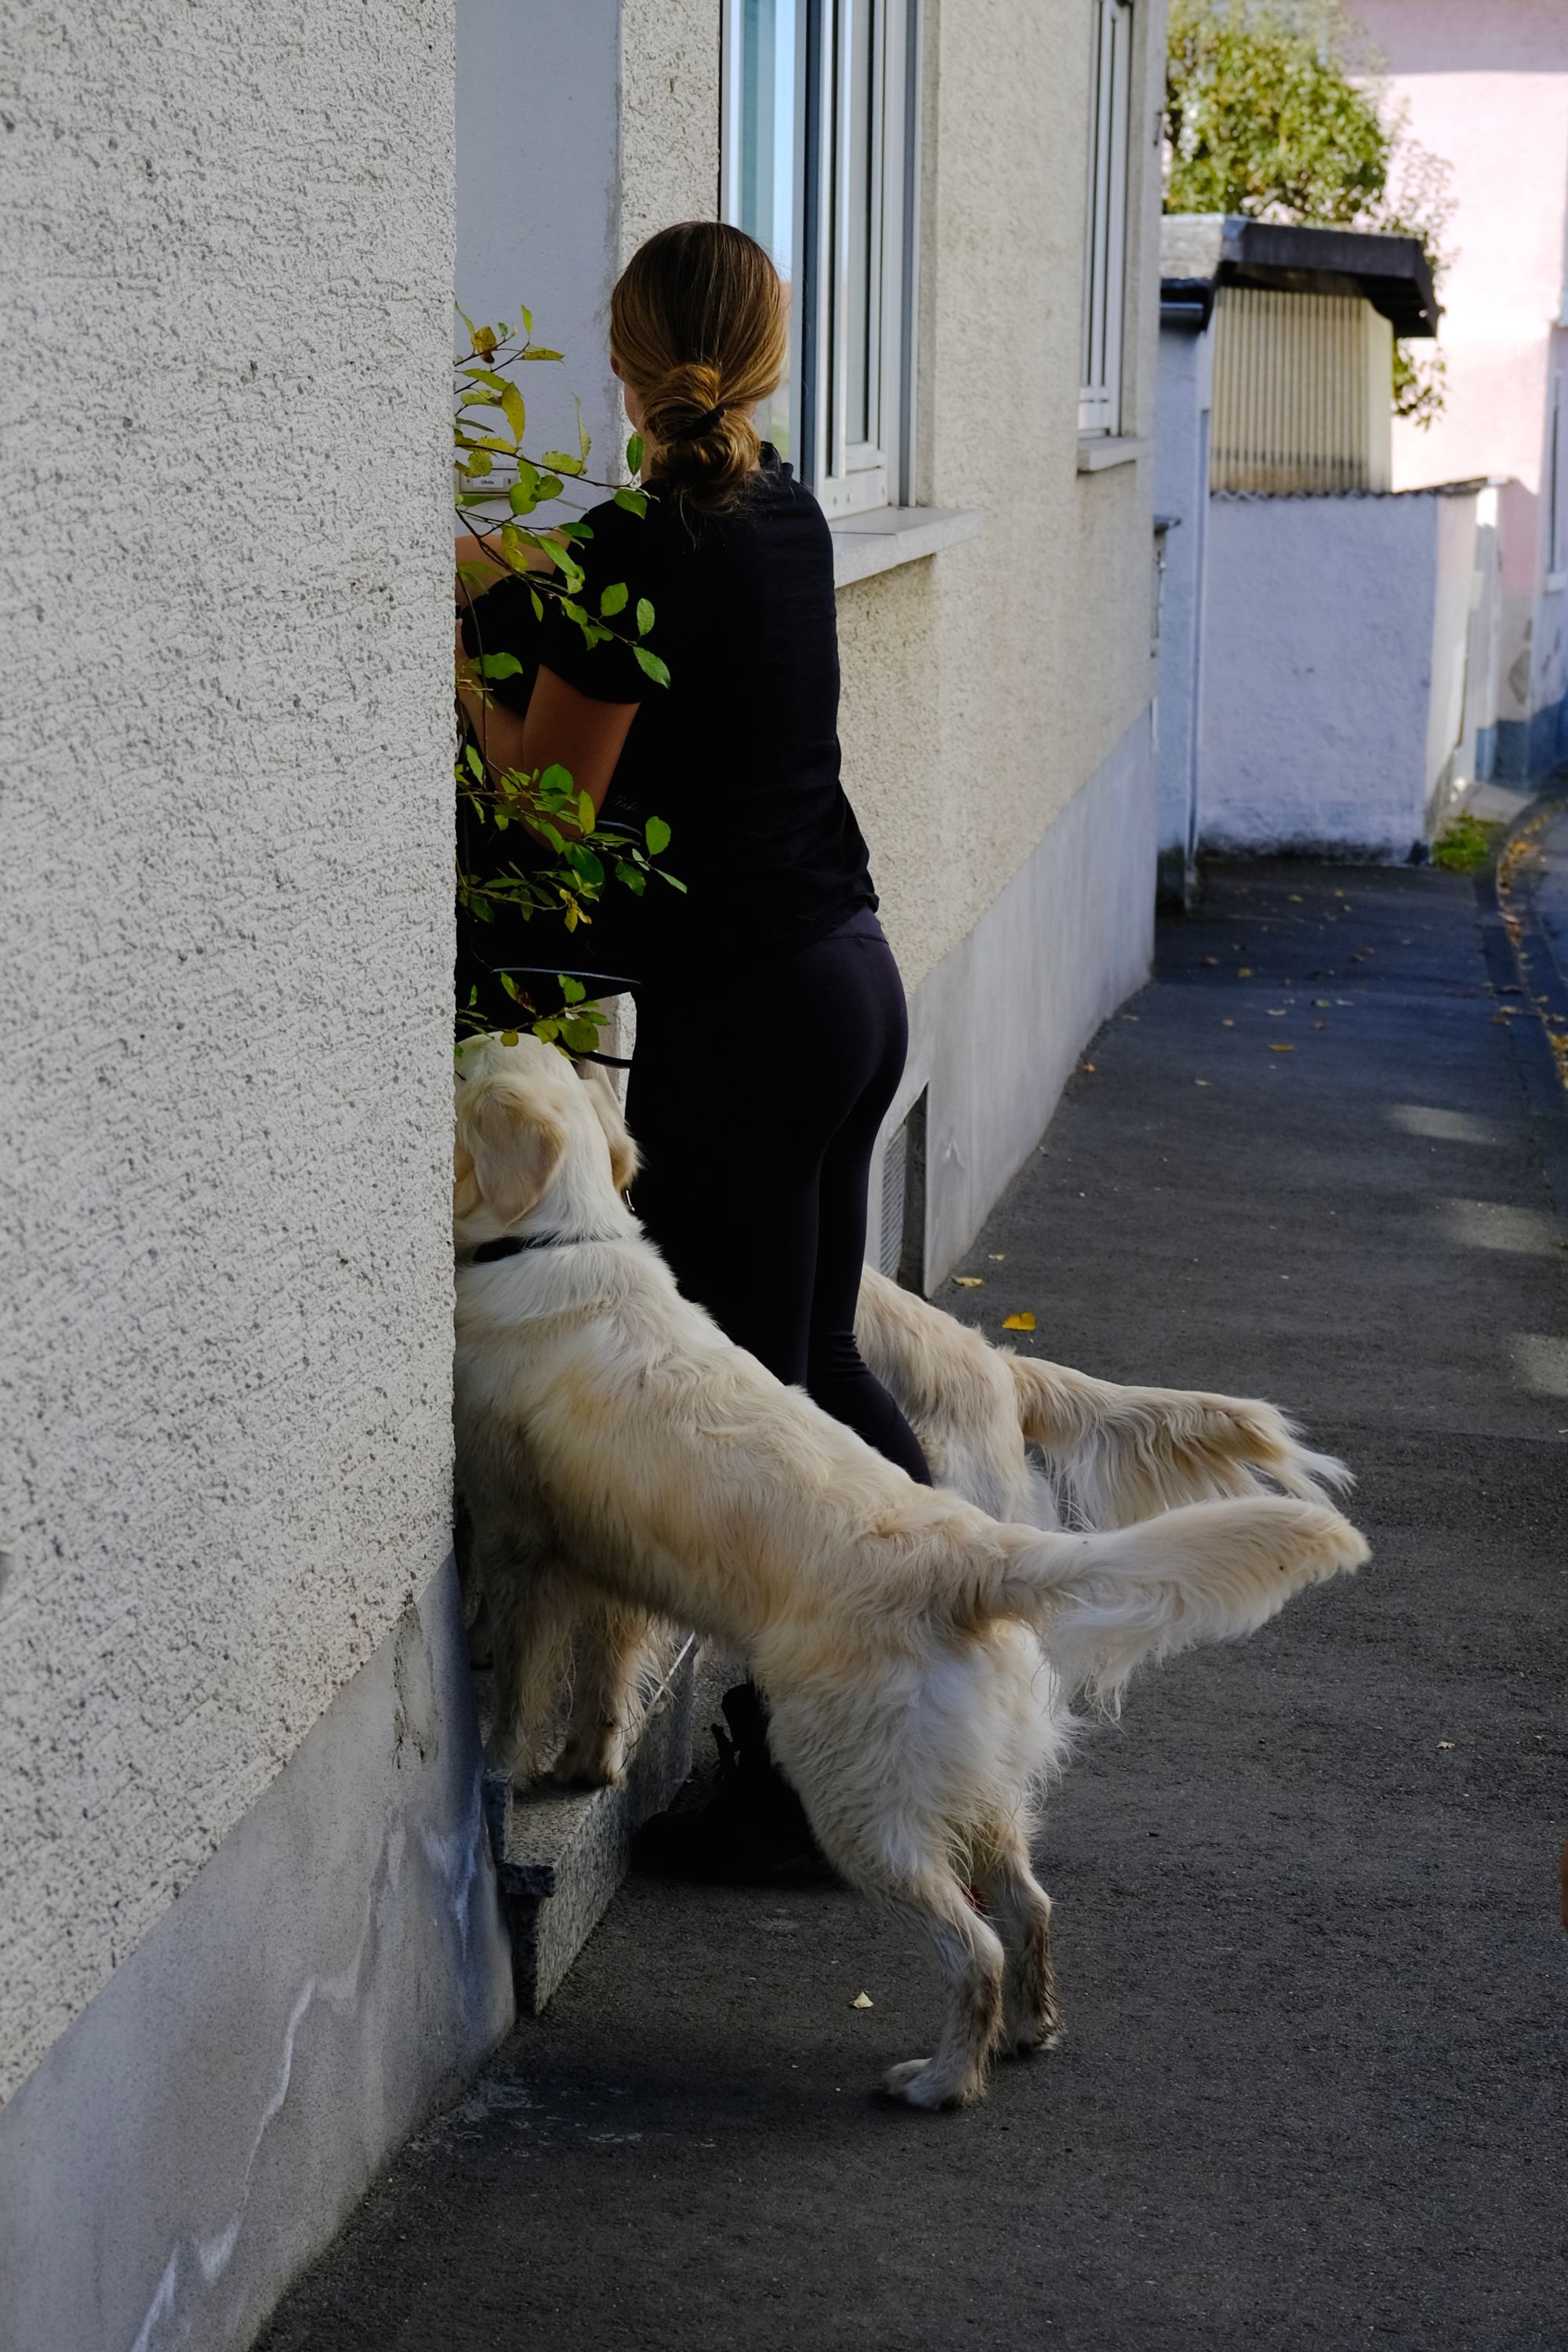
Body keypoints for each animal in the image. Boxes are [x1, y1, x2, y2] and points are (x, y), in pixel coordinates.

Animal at [453, 1034, 1368, 2109]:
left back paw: (939, 2080)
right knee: (1029, 1907)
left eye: (464, 1059)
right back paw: (1030, 2031)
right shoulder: (599, 1556)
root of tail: (974, 1554)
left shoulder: (518, 1537)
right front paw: (584, 1767)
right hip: (980, 1787)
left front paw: (498, 1774)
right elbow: (601, 1682)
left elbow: (517, 1681)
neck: (554, 1242)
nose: (469, 1024)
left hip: (861, 1799)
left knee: (973, 1948)